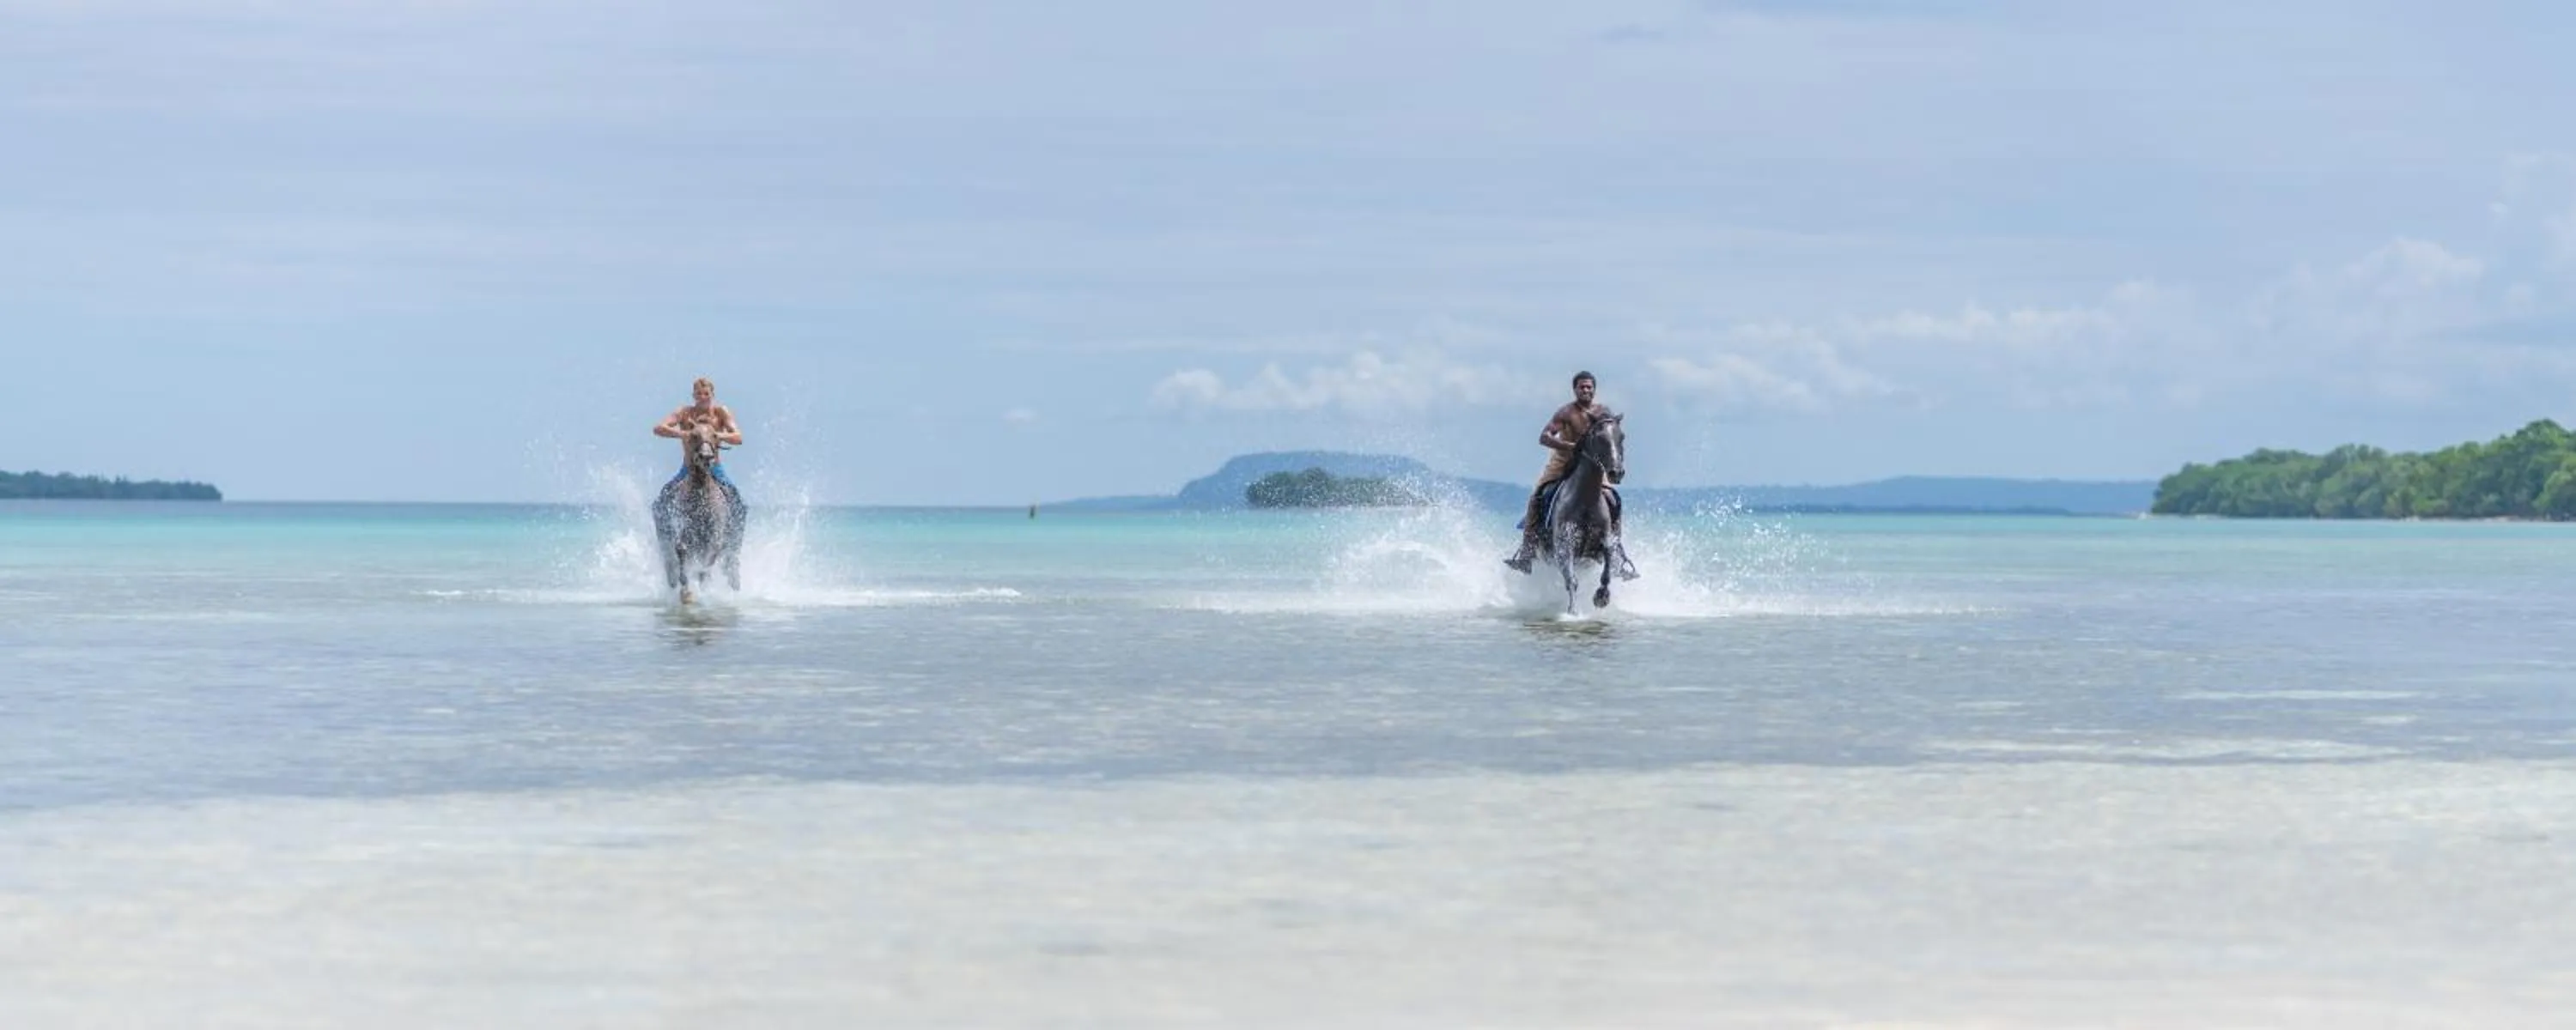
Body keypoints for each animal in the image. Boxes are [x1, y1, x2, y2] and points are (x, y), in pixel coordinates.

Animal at [650, 423, 746, 605]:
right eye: (693, 435)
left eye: (715, 435)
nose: (706, 456)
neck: (701, 496)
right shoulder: (682, 527)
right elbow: (681, 549)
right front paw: (686, 590)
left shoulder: (715, 535)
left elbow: (709, 560)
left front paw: (702, 585)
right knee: (670, 563)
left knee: (731, 564)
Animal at [1528, 411, 1639, 613]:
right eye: (1599, 438)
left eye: (1622, 437)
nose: (1616, 473)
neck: (1585, 500)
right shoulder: (1564, 546)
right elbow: (1571, 580)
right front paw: (1572, 611)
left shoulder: (1604, 543)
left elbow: (1607, 569)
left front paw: (1602, 597)